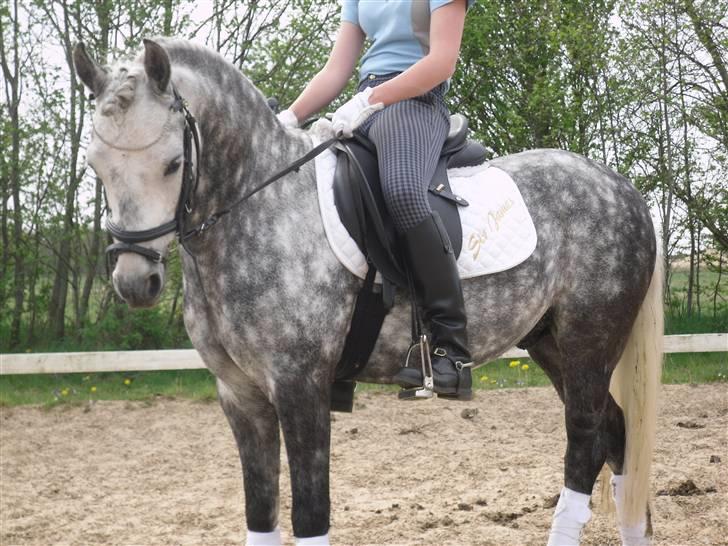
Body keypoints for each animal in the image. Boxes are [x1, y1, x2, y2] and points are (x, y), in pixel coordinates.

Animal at [73, 38, 663, 546]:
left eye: (173, 163)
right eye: (96, 164)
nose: (135, 282)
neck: (257, 209)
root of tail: (622, 188)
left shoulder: (301, 386)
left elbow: (310, 512)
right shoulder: (240, 396)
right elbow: (260, 511)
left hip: (591, 340)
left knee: (585, 439)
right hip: (548, 342)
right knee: (614, 434)